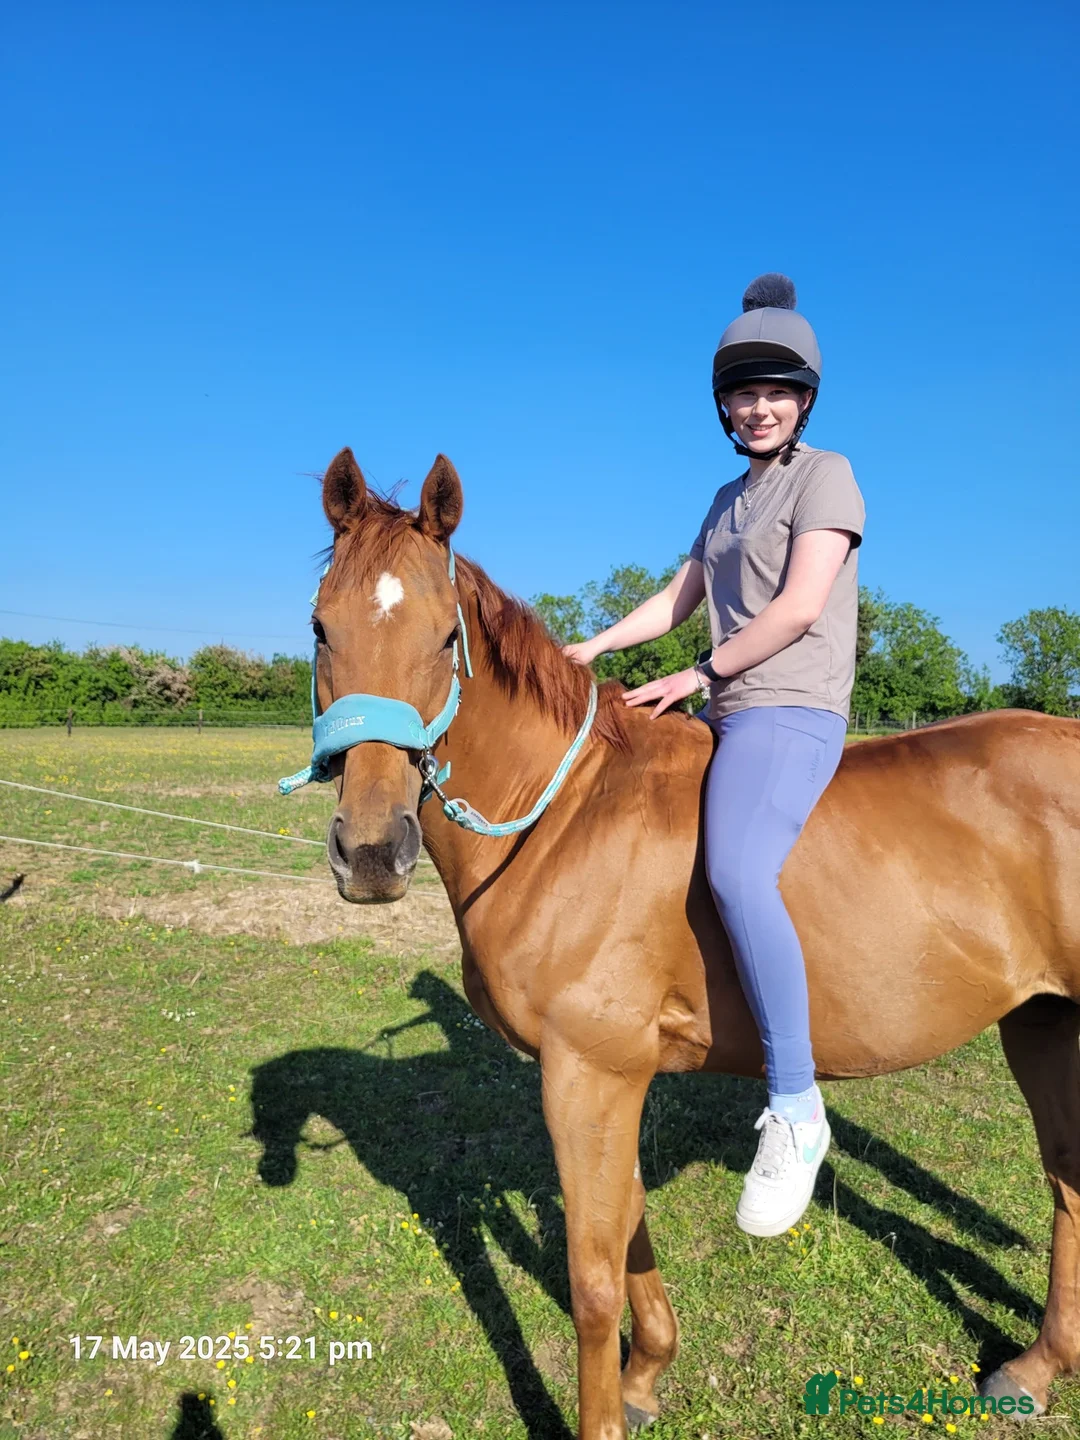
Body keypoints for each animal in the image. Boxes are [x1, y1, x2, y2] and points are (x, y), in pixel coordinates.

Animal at [297, 444, 1080, 1438]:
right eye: (321, 629)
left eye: (444, 639)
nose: (370, 853)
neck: (563, 816)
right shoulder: (608, 1077)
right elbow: (629, 1224)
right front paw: (647, 1374)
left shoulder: (587, 1073)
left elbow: (591, 1280)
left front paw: (605, 1408)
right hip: (1044, 1024)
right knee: (1069, 1183)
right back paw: (1039, 1366)